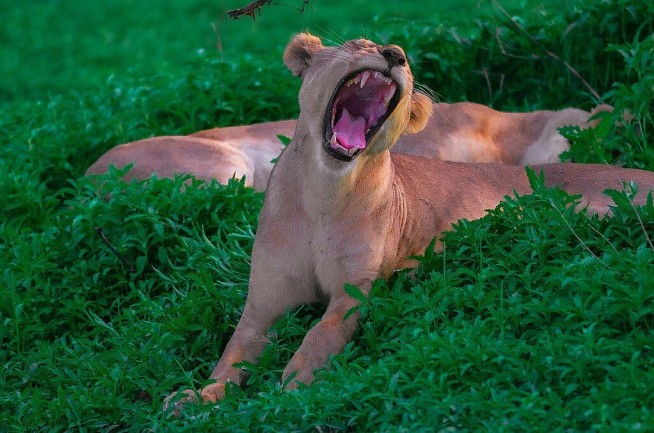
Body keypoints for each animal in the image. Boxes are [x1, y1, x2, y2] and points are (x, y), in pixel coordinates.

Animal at [162, 33, 654, 413]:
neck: (324, 193)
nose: (395, 54)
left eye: (405, 60)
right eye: (359, 44)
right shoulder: (262, 306)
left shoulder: (354, 291)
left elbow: (323, 333)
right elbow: (230, 355)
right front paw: (193, 398)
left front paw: (296, 383)